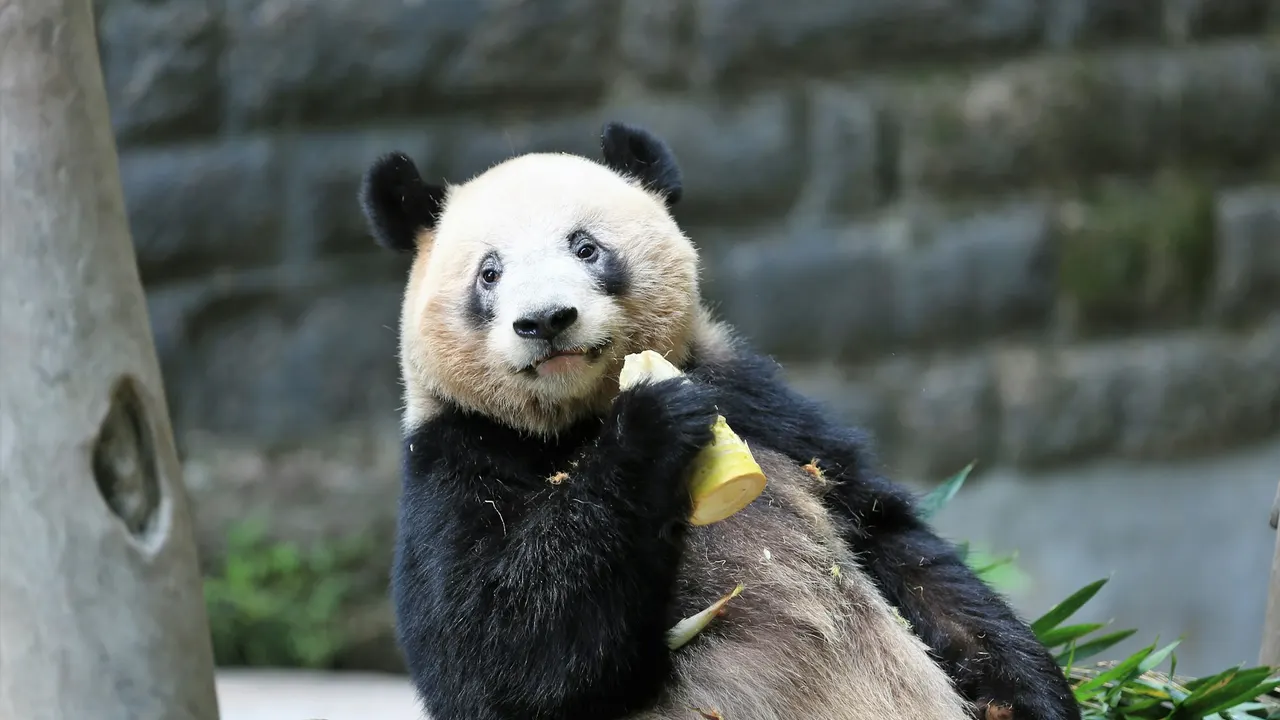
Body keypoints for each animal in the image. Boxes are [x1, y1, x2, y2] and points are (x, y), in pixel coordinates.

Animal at [358, 122, 1080, 720]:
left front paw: (1033, 694)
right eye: (489, 273)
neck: (578, 419)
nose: (545, 321)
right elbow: (497, 651)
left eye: (586, 248)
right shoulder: (456, 456)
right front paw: (653, 424)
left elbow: (893, 541)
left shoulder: (758, 404)